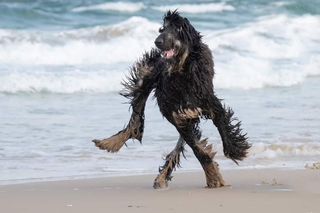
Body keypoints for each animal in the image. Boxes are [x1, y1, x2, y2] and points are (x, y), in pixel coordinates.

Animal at [92, 10, 250, 189]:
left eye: (177, 29)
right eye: (162, 29)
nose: (157, 41)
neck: (182, 72)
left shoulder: (208, 102)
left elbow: (221, 124)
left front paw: (233, 150)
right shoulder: (176, 115)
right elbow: (198, 149)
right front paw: (213, 176)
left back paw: (161, 176)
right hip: (146, 77)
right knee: (135, 118)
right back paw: (111, 143)